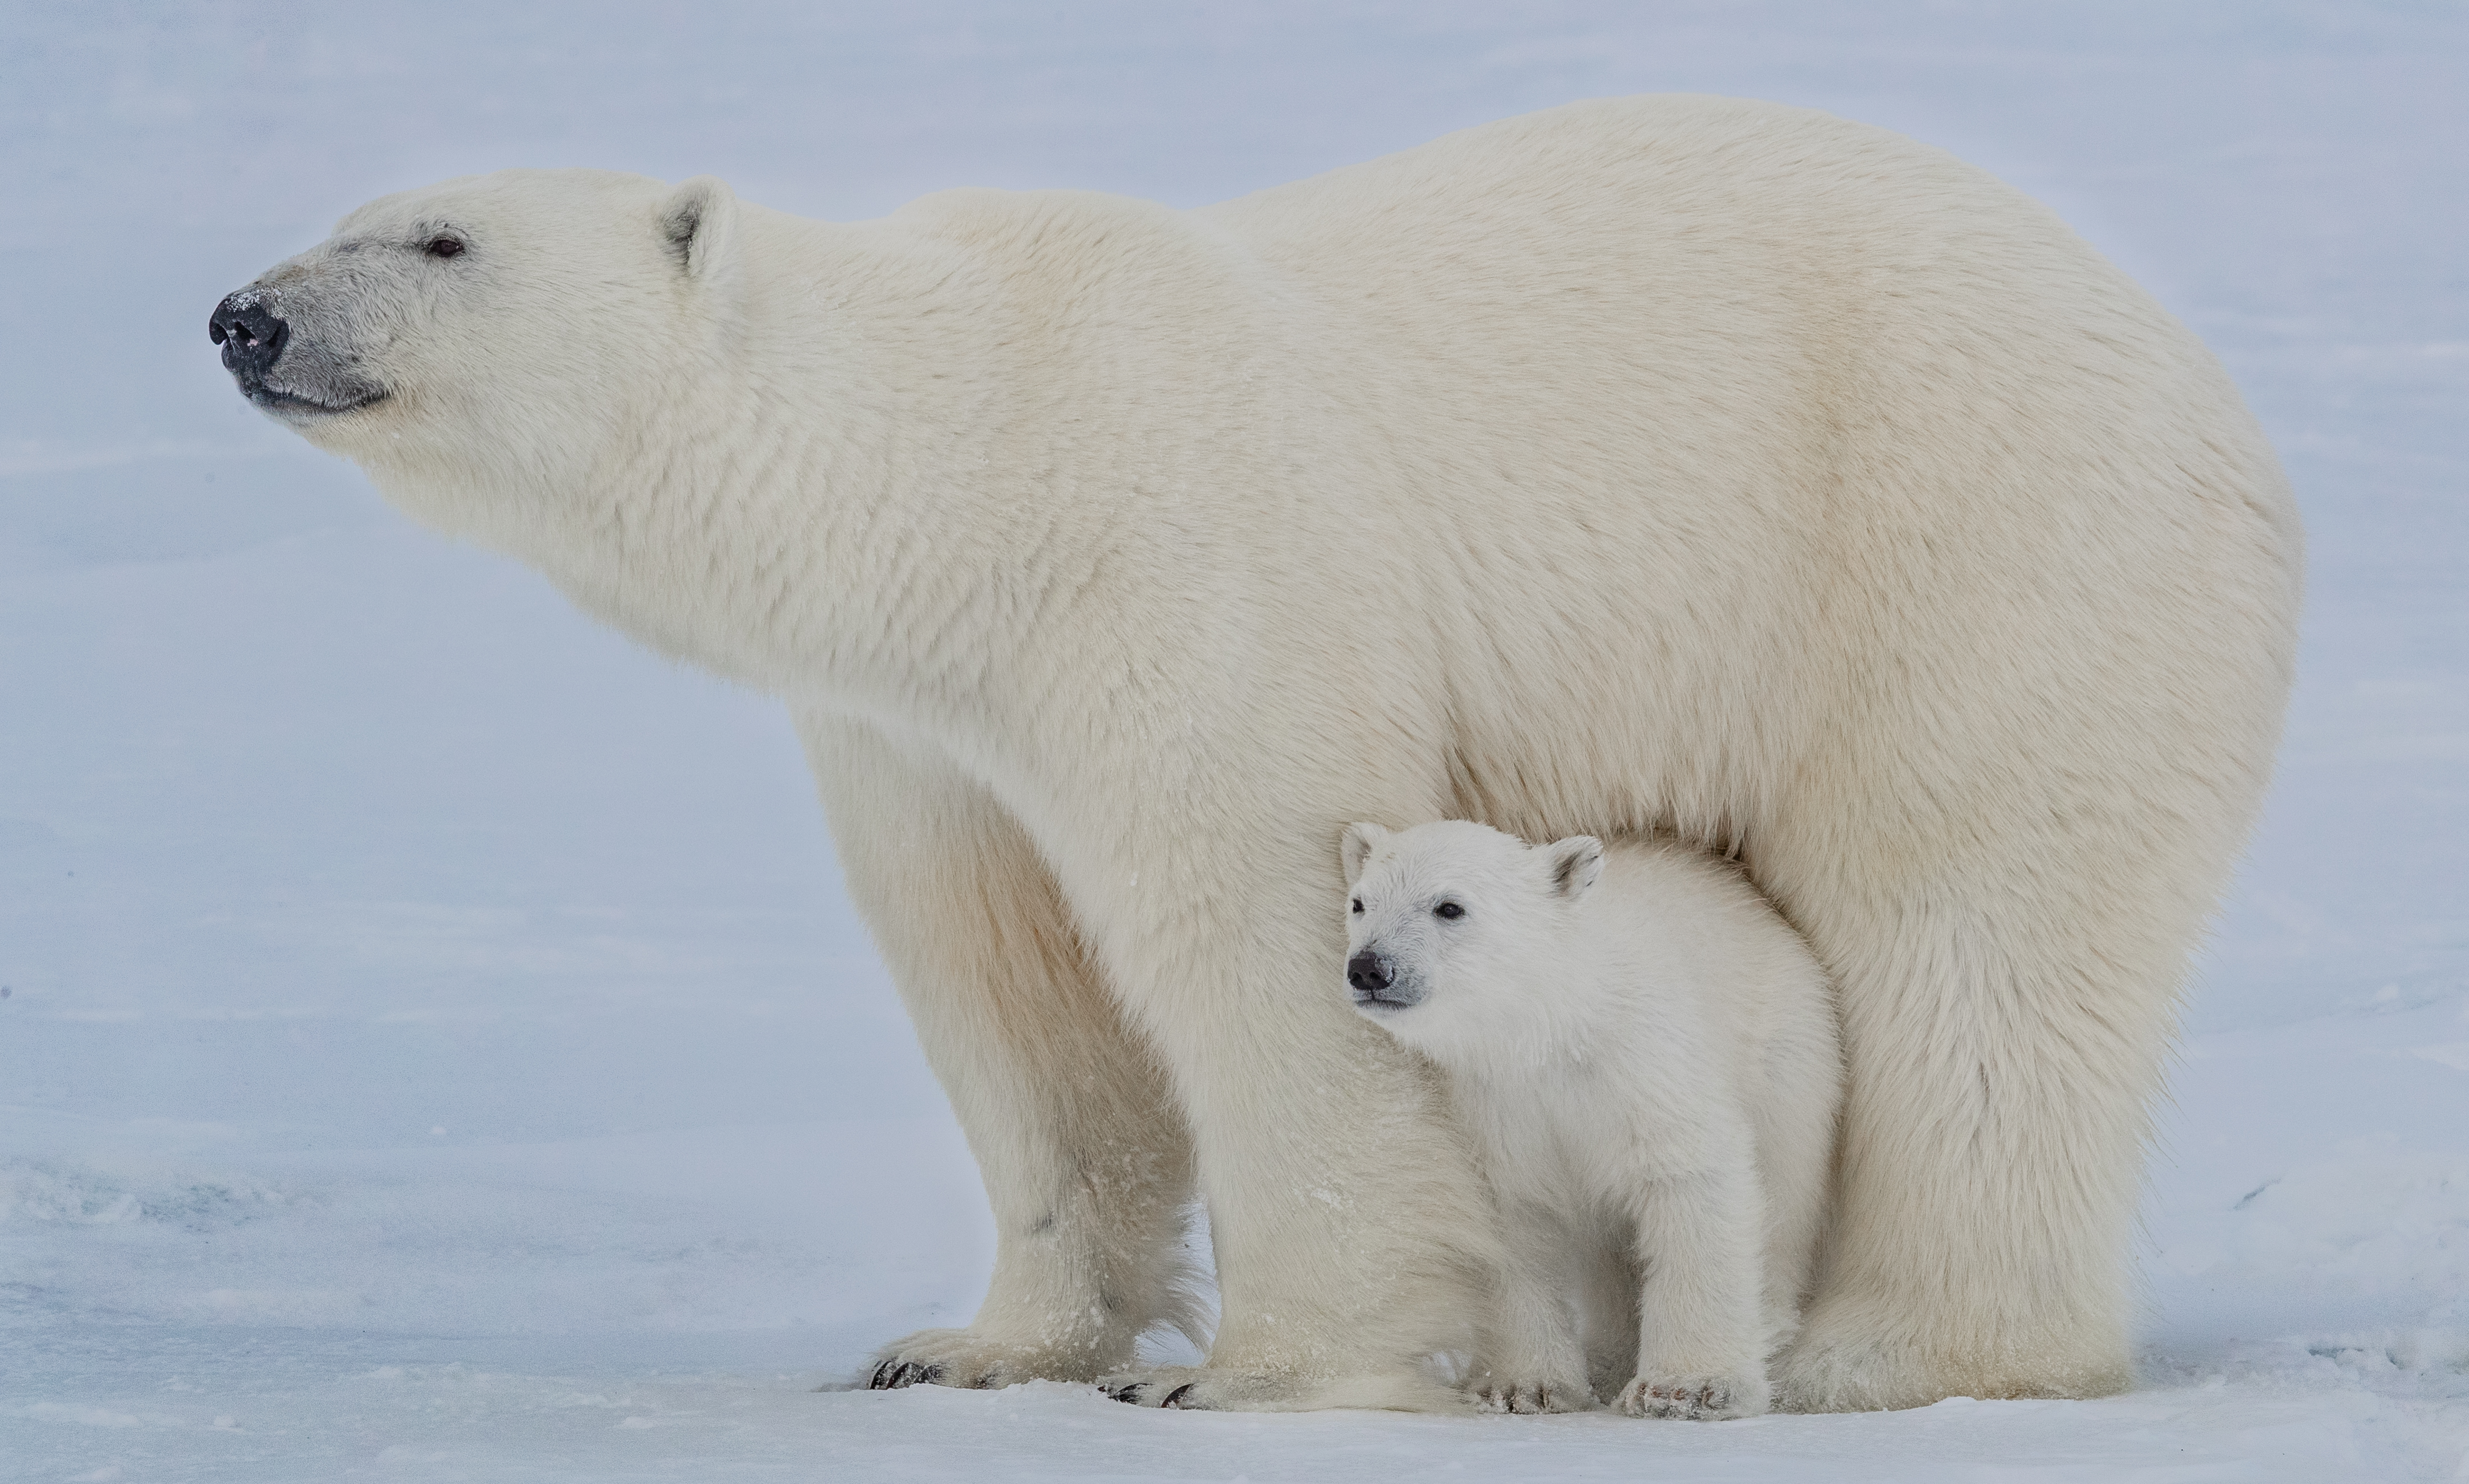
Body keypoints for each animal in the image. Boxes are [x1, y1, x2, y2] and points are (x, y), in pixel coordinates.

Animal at [207, 98, 2291, 1402]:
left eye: (439, 238)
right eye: (354, 215)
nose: (242, 314)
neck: (972, 458)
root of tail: (2218, 408)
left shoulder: (1190, 566)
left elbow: (1255, 921)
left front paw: (1267, 1364)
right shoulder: (923, 729)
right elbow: (1012, 998)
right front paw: (972, 1342)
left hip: (1976, 564)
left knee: (1975, 942)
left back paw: (1897, 1346)